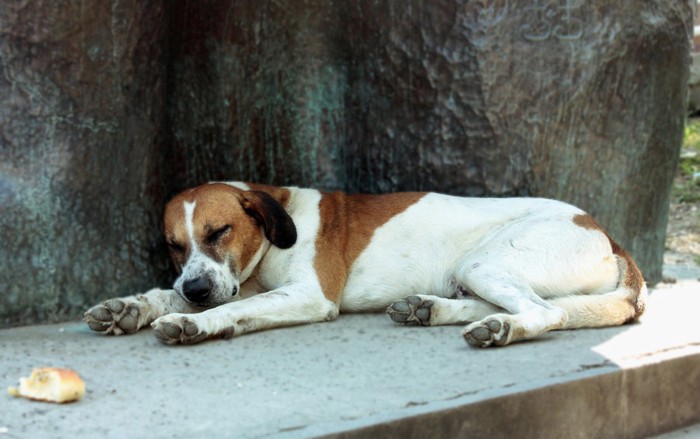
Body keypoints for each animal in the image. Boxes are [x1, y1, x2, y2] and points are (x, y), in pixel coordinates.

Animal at [85, 181, 648, 348]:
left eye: (219, 232)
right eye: (173, 246)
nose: (196, 290)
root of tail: (607, 234)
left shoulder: (309, 297)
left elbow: (232, 309)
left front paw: (193, 322)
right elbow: (166, 294)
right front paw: (129, 307)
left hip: (487, 261)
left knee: (549, 312)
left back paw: (500, 331)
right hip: (475, 272)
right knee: (507, 305)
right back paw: (435, 311)